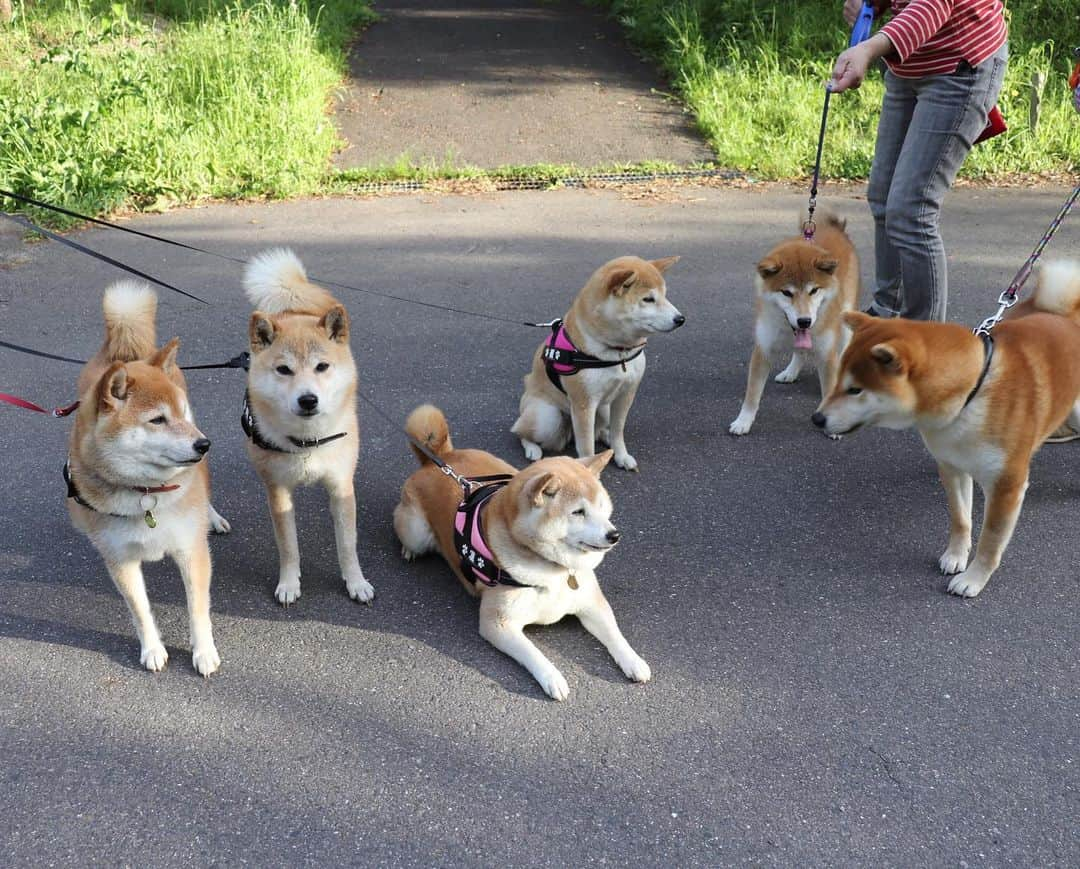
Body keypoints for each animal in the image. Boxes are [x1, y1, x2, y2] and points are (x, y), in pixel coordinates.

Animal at [66, 280, 228, 673]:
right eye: (157, 420)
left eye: (180, 413)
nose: (204, 444)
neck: (146, 492)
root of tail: (128, 353)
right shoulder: (120, 560)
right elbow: (139, 611)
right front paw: (152, 649)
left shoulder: (191, 550)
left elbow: (198, 610)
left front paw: (203, 652)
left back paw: (213, 517)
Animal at [241, 247, 373, 608]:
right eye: (284, 370)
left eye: (322, 367)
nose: (308, 399)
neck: (307, 442)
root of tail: (293, 309)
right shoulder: (278, 491)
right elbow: (288, 547)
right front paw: (289, 583)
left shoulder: (341, 487)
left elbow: (348, 545)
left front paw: (356, 582)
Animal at [397, 405, 648, 699]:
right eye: (578, 512)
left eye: (601, 507)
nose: (614, 535)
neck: (554, 570)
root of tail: (441, 458)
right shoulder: (497, 623)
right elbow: (533, 653)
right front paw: (553, 678)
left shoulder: (591, 602)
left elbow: (614, 633)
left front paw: (634, 660)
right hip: (416, 531)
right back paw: (408, 551)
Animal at [725, 216, 859, 433]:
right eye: (786, 292)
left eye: (814, 290)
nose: (804, 321)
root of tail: (835, 227)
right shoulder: (763, 349)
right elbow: (752, 394)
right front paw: (743, 421)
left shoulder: (827, 352)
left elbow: (828, 388)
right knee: (800, 352)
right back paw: (790, 372)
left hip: (846, 319)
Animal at [812, 258, 1080, 595]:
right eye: (837, 383)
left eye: (855, 390)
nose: (817, 419)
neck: (970, 393)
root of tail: (1067, 314)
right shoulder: (952, 466)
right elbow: (960, 519)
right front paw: (956, 556)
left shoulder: (1007, 485)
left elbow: (990, 541)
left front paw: (974, 579)